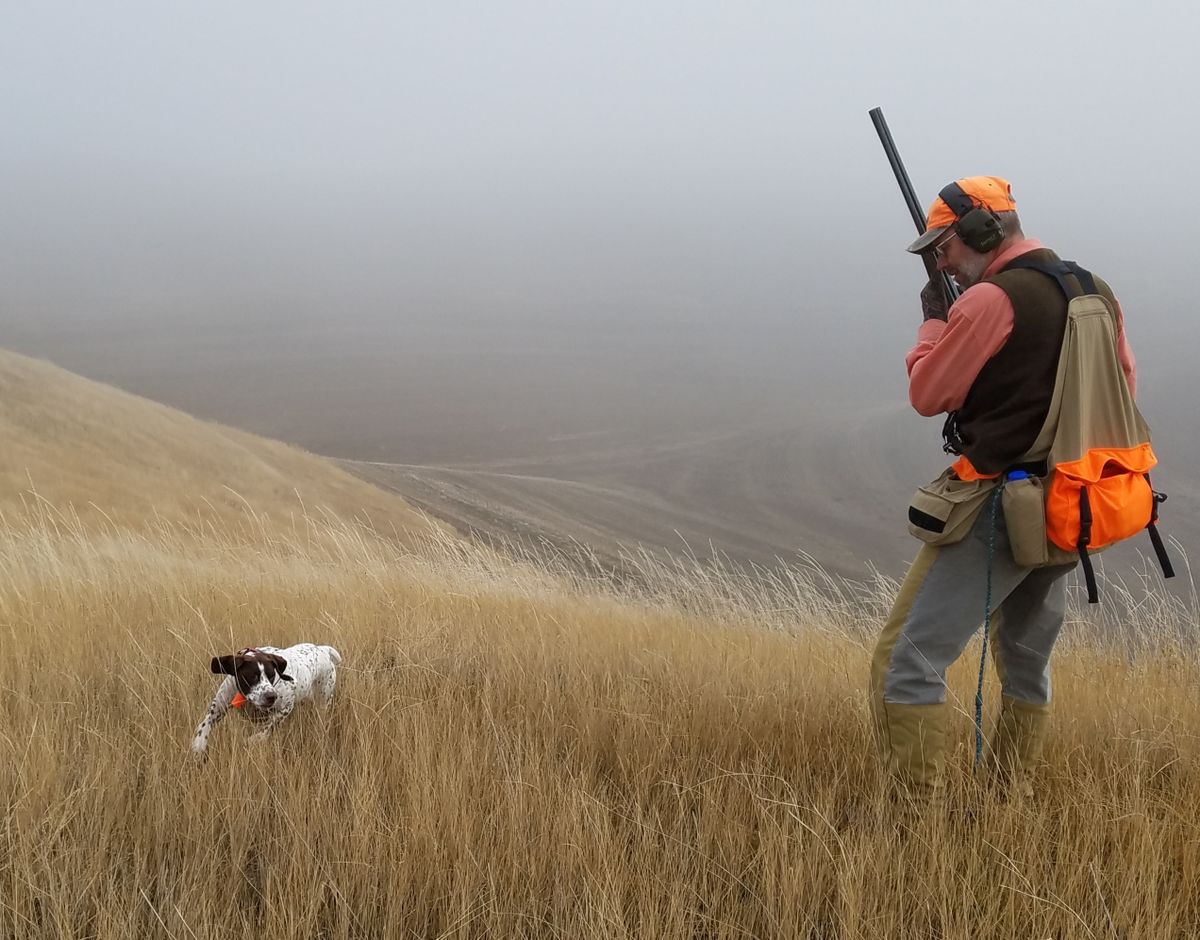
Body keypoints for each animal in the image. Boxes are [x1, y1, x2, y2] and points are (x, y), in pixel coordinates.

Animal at [192, 643, 340, 758]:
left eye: (272, 675)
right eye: (252, 676)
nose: (271, 696)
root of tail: (323, 649)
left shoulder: (286, 707)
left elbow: (267, 727)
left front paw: (253, 740)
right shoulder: (218, 707)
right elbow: (204, 726)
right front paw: (198, 745)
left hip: (322, 701)